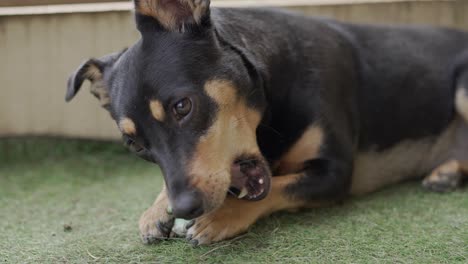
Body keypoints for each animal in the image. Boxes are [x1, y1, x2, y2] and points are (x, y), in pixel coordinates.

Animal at [65, 0, 468, 245]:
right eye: (134, 145)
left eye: (182, 106)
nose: (184, 208)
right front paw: (155, 209)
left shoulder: (335, 172)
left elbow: (277, 188)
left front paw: (222, 217)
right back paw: (447, 172)